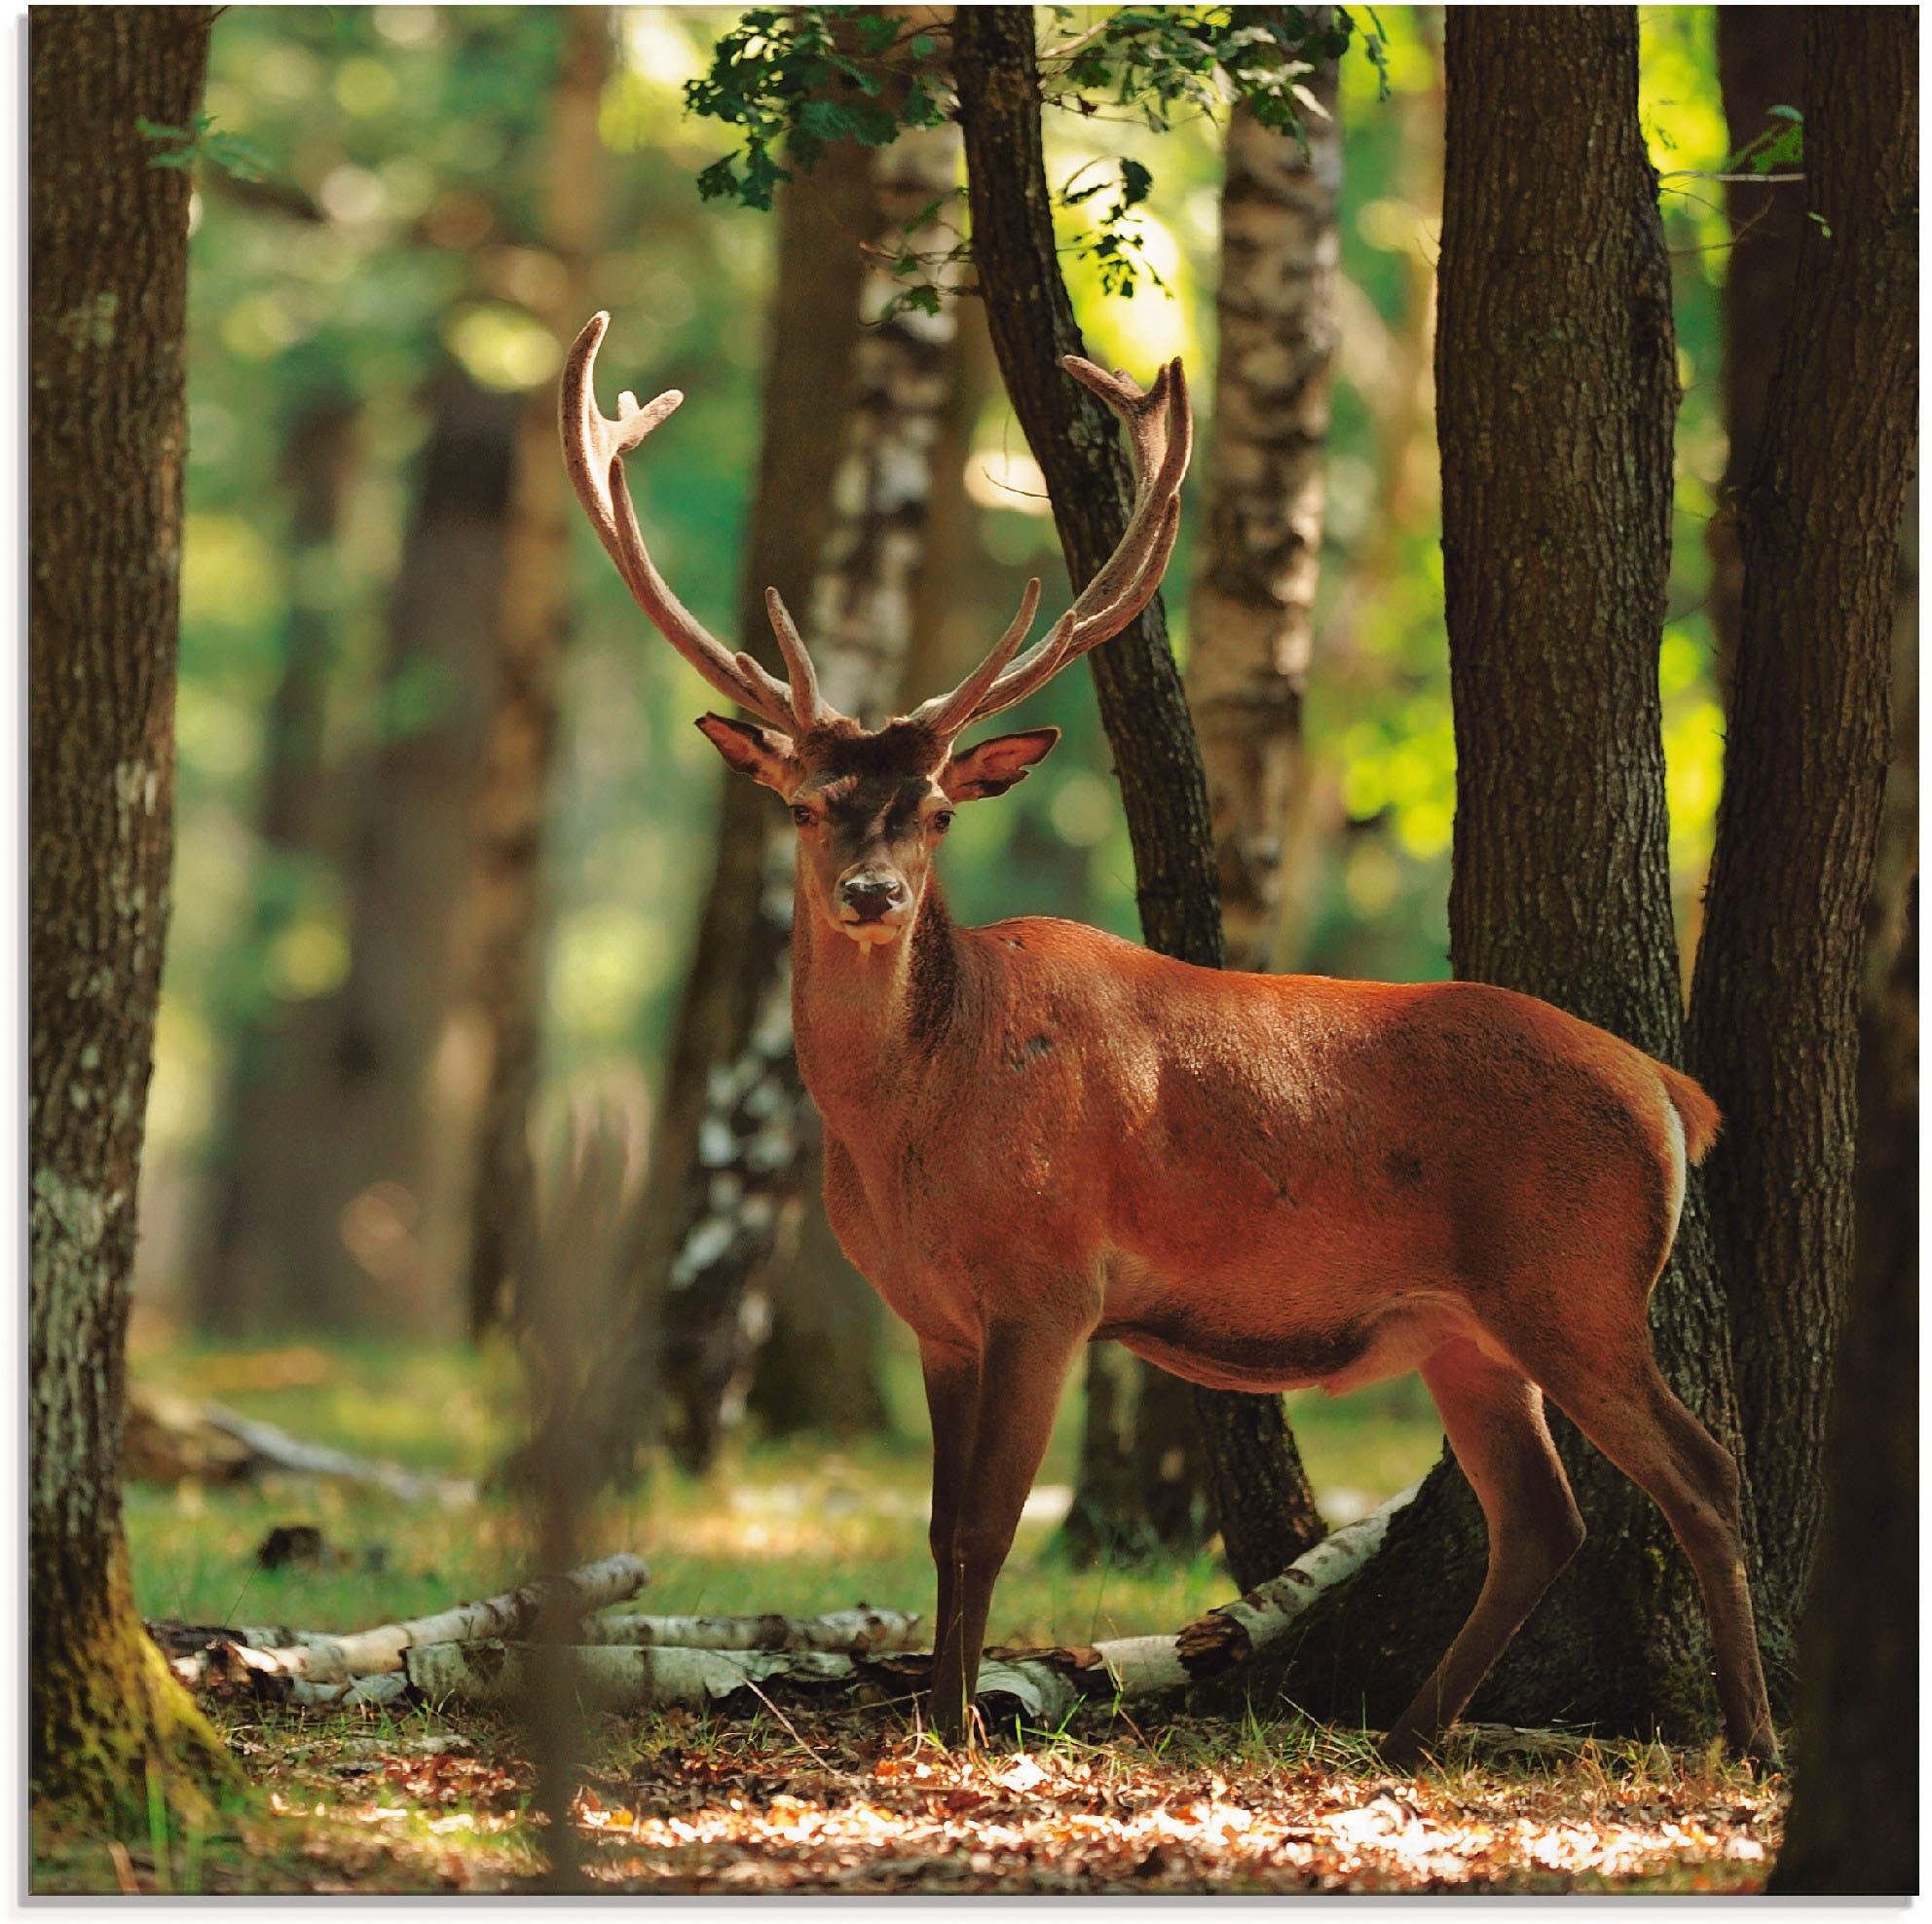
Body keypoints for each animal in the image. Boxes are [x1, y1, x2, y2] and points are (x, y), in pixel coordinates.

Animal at [561, 310, 1777, 1769]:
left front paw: (958, 1727)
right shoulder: (936, 1316)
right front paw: (934, 1712)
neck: (914, 1118)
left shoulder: (1049, 1284)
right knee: (1544, 1513)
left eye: (937, 813)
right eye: (805, 803)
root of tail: (1671, 1091)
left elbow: (984, 1526)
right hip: (1465, 1329)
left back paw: (1753, 1736)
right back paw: (1408, 1731)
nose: (872, 894)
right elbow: (939, 1527)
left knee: (1703, 1471)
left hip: (1578, 1282)